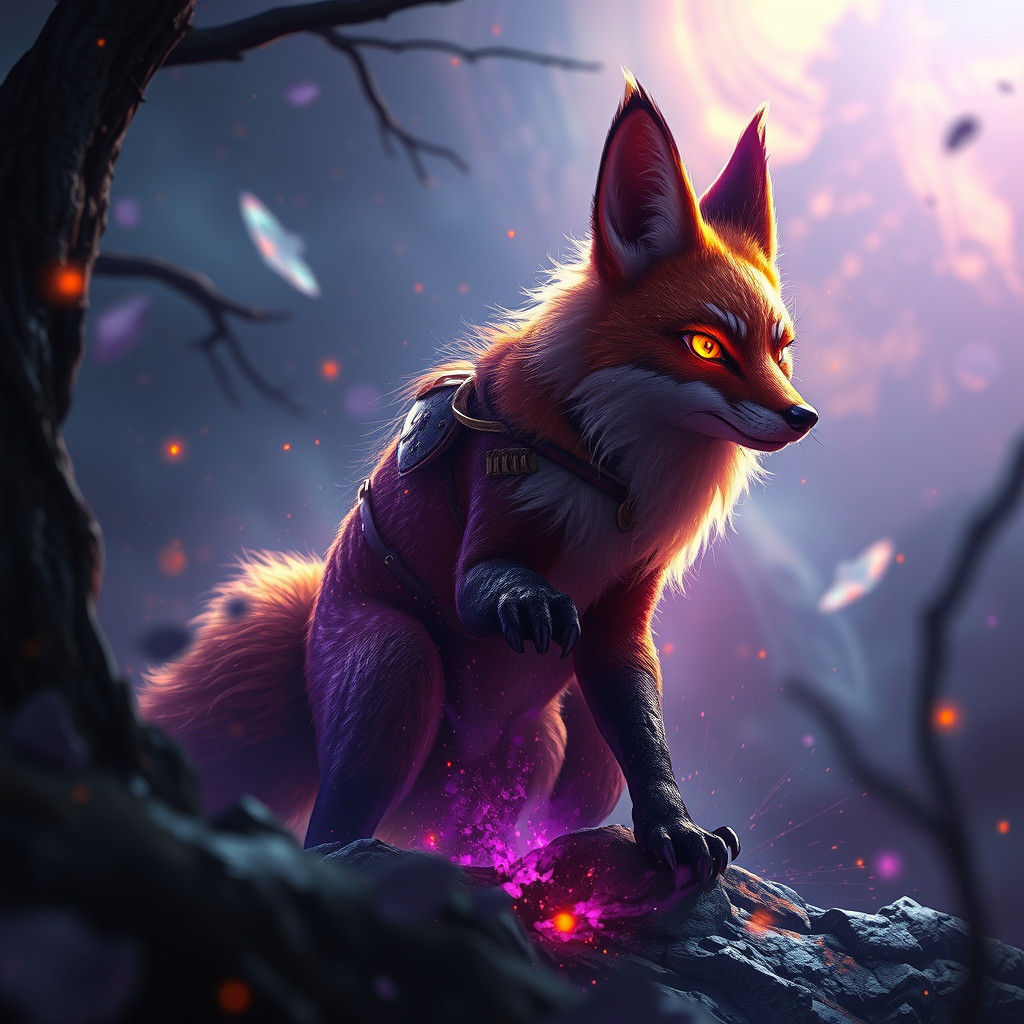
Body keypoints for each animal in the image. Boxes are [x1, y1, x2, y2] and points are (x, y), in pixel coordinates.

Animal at [140, 75, 817, 884]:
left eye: (781, 348)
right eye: (707, 345)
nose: (803, 417)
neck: (605, 474)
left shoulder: (622, 626)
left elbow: (647, 740)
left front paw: (673, 830)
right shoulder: (494, 523)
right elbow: (484, 586)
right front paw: (532, 601)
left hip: (566, 749)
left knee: (505, 821)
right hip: (397, 671)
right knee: (330, 828)